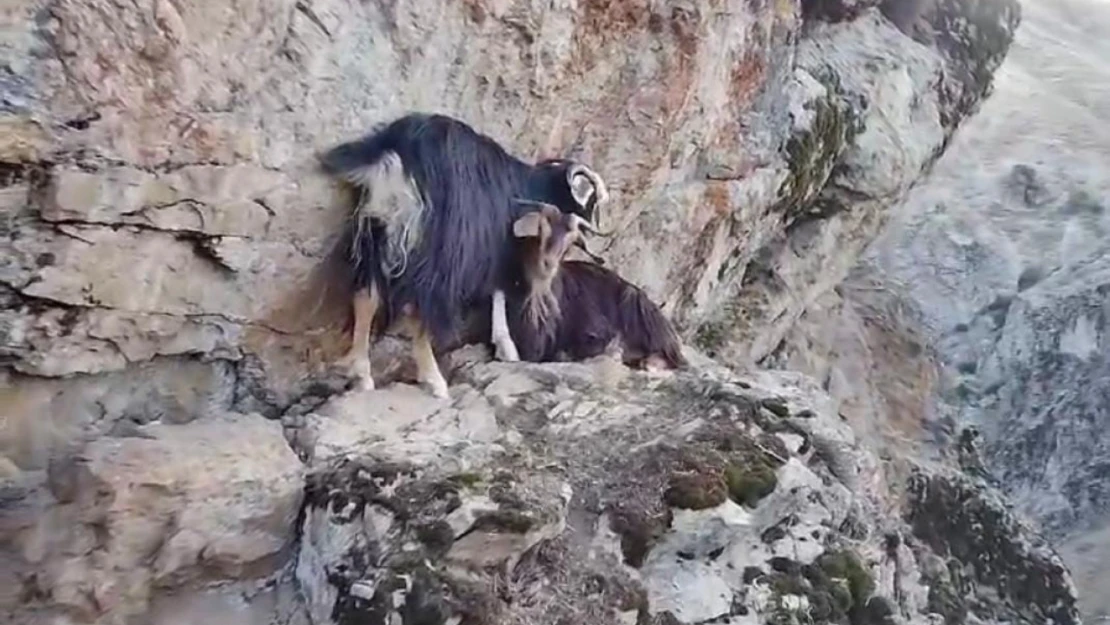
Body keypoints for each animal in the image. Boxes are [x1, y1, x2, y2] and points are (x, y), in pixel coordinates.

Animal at [321, 112, 612, 395]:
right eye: (590, 200)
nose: (591, 231)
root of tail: (398, 156)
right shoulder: (496, 249)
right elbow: (499, 293)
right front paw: (507, 348)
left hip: (374, 229)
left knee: (365, 296)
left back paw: (362, 376)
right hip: (435, 246)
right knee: (417, 306)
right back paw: (435, 382)